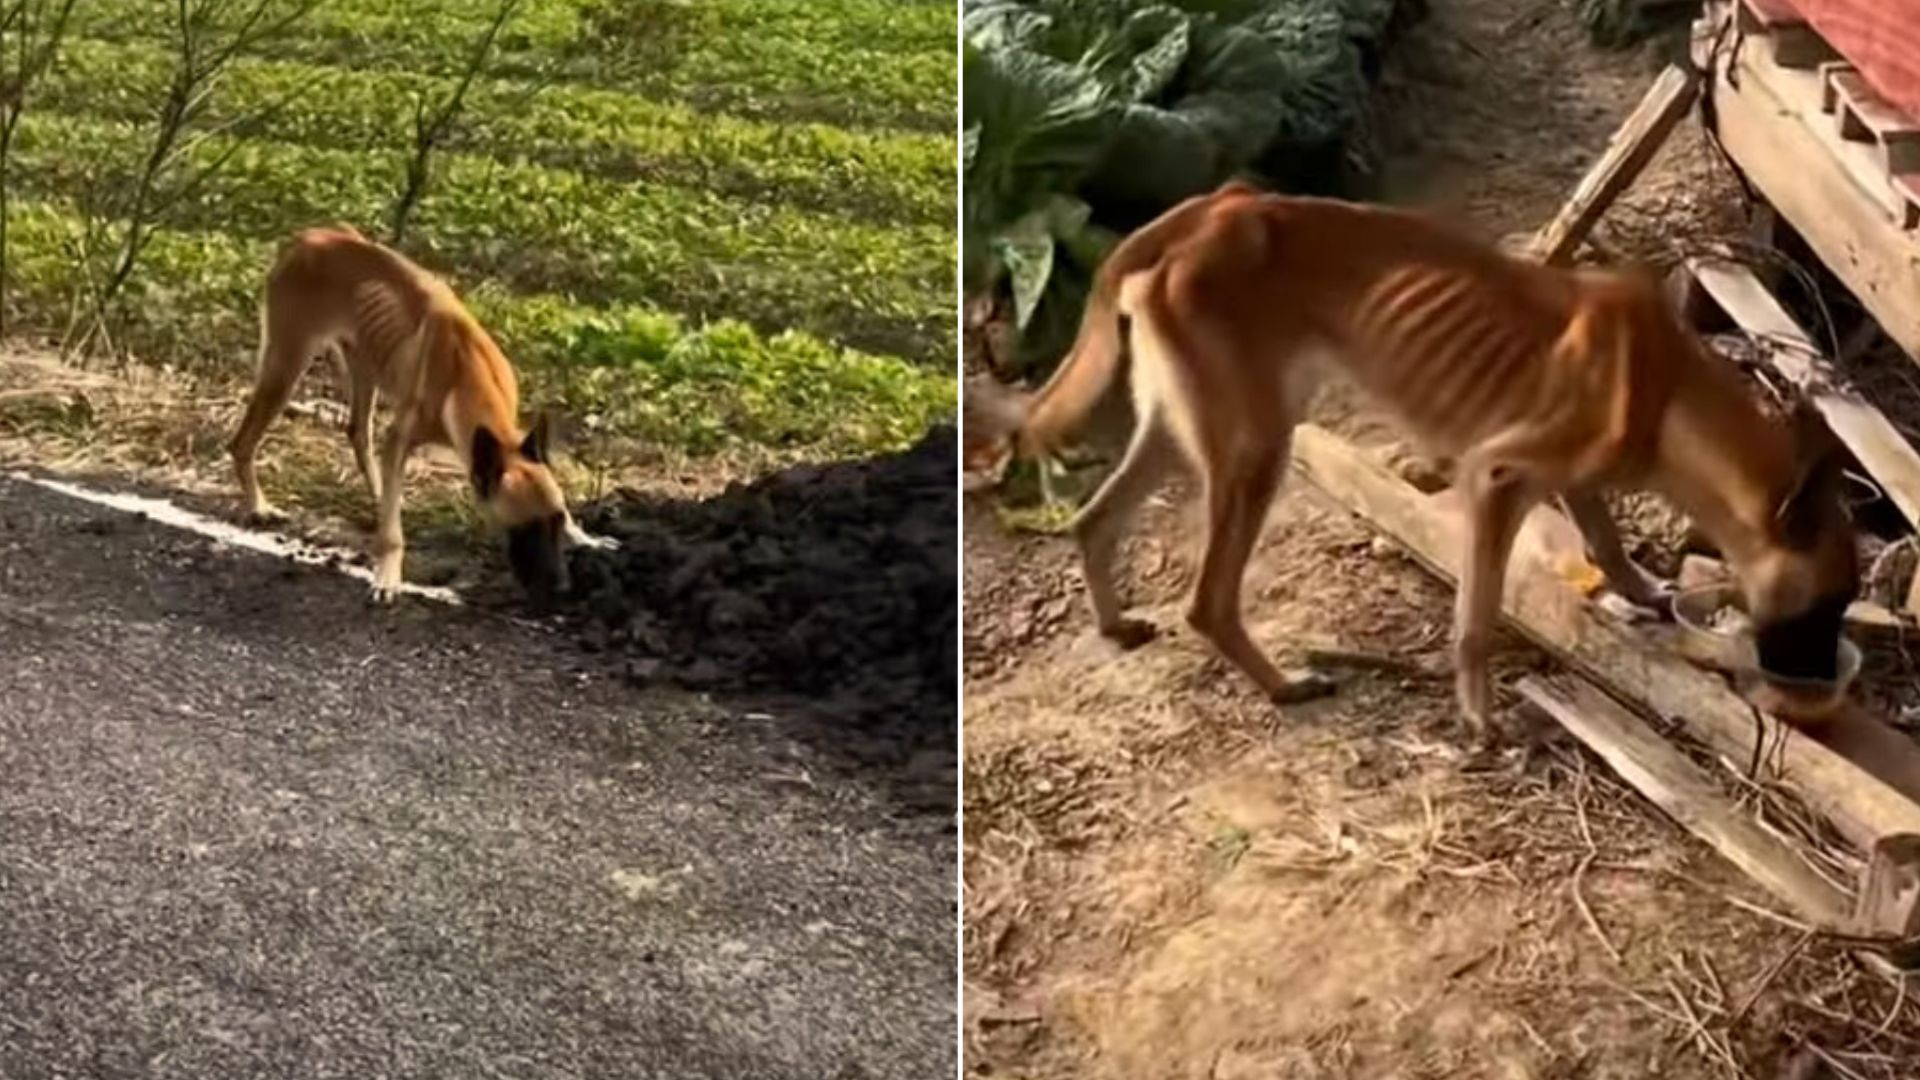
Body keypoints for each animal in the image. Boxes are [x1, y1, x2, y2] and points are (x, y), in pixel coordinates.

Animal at [226, 222, 614, 599]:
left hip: (363, 365)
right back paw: (259, 506)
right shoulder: (401, 437)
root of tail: (305, 239)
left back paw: (377, 494)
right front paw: (387, 574)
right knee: (242, 444)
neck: (469, 377)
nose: (563, 588)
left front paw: (586, 536)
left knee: (358, 433)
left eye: (558, 520)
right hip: (286, 369)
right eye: (526, 528)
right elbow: (392, 534)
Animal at [975, 182, 1858, 737]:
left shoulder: (1572, 482)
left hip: (1179, 425)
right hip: (1257, 448)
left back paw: (1116, 624)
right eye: (1829, 601)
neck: (1670, 388)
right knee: (1207, 602)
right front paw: (1480, 718)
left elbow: (1606, 541)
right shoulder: (1495, 481)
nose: (1813, 685)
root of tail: (1207, 210)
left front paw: (1642, 591)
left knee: (1093, 522)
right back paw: (1284, 686)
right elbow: (1475, 622)